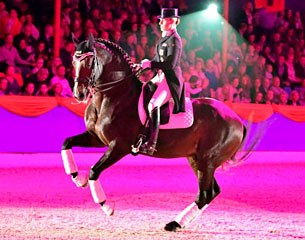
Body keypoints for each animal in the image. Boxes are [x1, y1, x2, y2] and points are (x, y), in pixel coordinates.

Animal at [61, 34, 249, 232]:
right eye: (74, 60)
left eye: (90, 61)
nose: (79, 94)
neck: (113, 96)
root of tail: (237, 120)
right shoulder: (96, 138)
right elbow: (67, 143)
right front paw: (77, 178)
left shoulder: (119, 146)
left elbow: (94, 171)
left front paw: (107, 206)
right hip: (196, 159)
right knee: (211, 192)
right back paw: (177, 223)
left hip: (207, 161)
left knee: (205, 194)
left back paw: (174, 223)